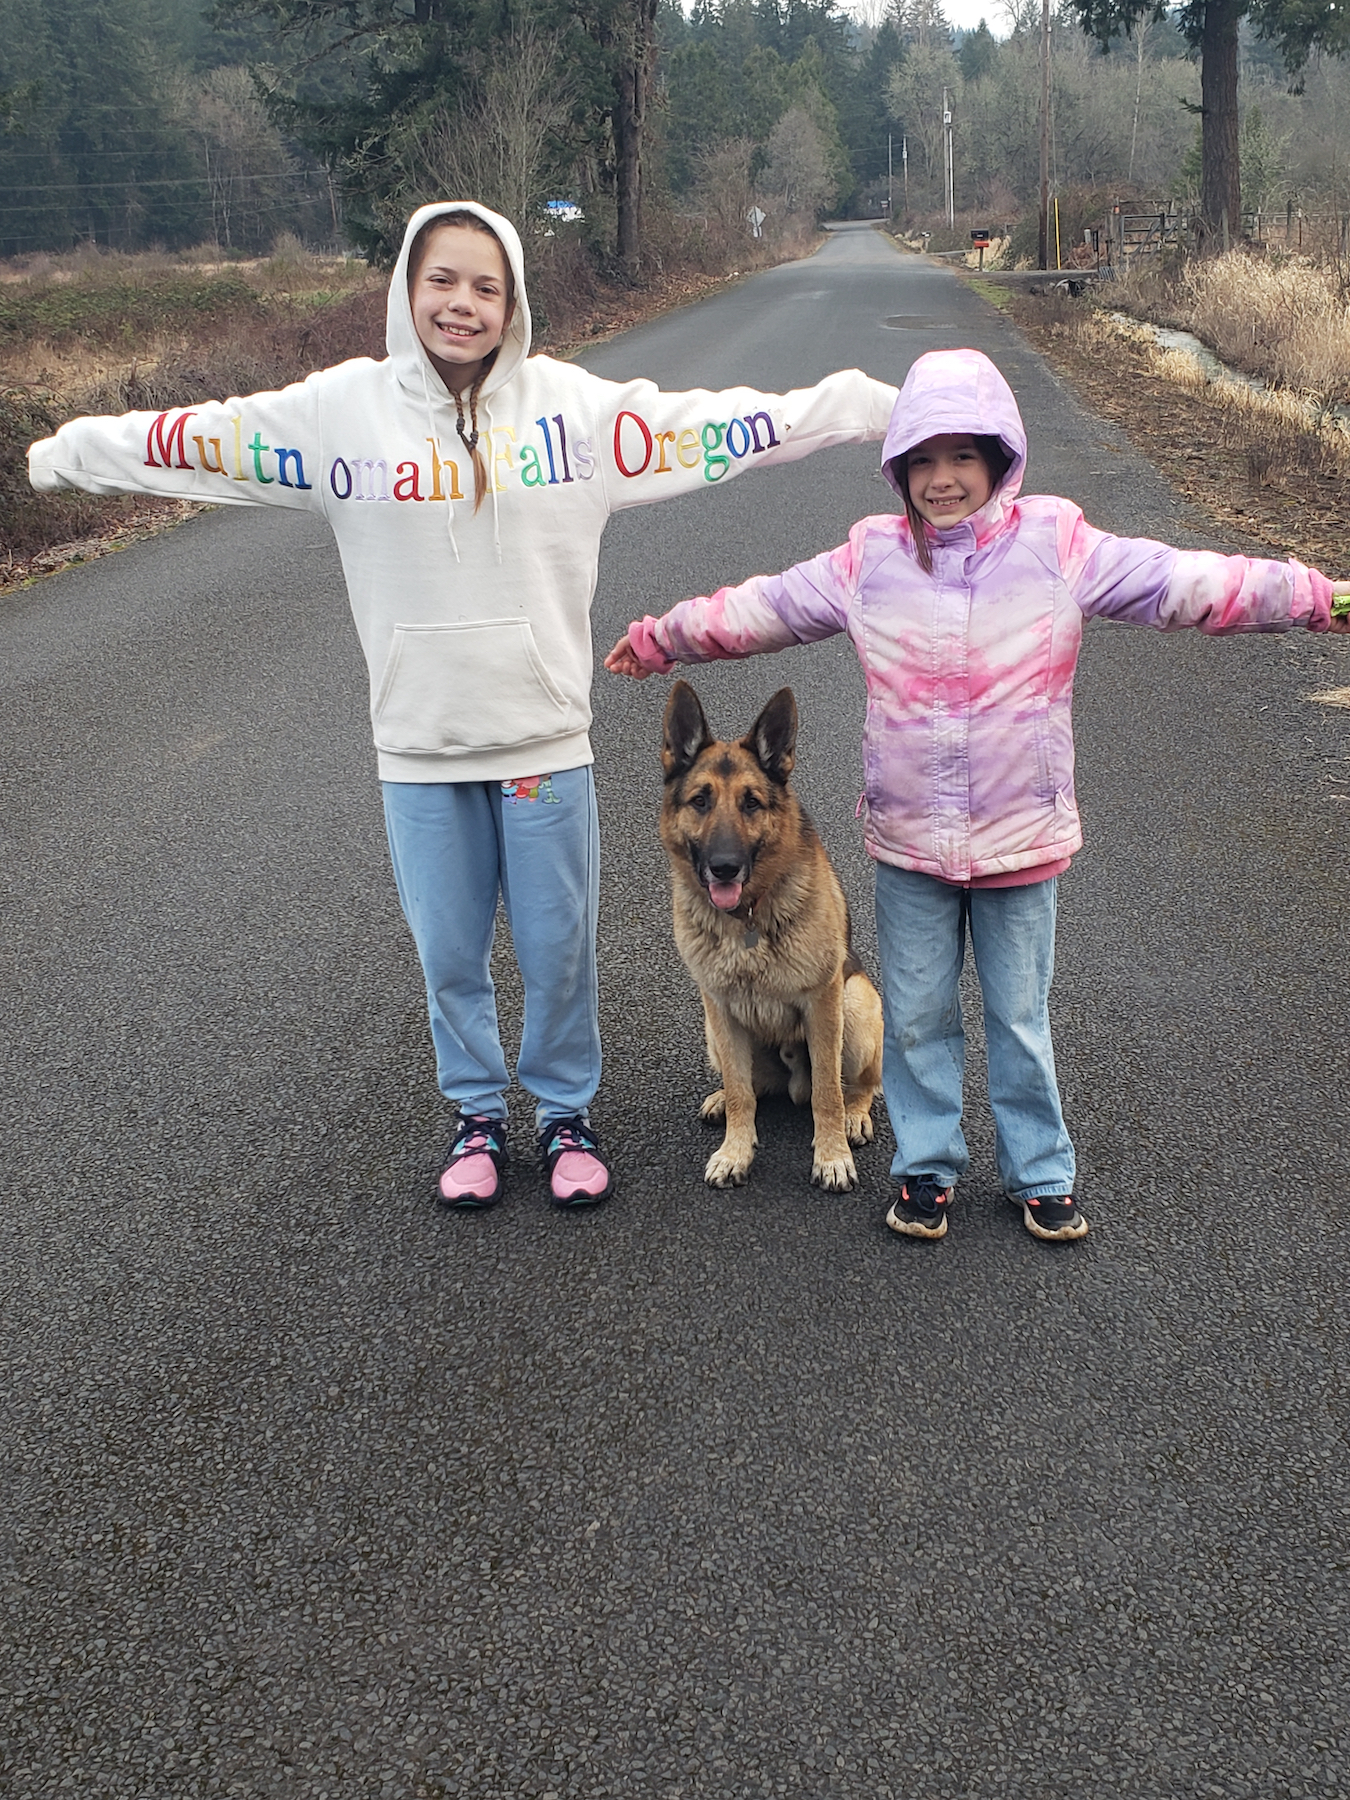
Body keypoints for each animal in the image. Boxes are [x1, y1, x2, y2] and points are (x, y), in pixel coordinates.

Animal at [662, 680, 889, 1188]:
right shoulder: (719, 1006)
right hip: (713, 1030)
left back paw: (856, 1115)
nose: (724, 867)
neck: (745, 918)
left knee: (861, 1084)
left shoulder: (822, 1003)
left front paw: (832, 1156)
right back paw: (724, 1102)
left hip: (855, 1004)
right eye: (700, 800)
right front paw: (735, 1150)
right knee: (752, 1084)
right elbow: (740, 1090)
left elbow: (827, 1091)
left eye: (751, 802)